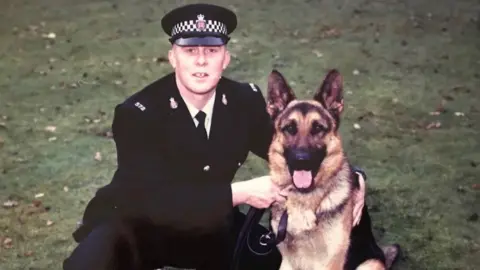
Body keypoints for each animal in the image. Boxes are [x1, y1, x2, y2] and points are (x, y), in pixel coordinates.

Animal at [266, 70, 398, 270]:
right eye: (290, 128)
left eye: (318, 128)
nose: (302, 160)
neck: (304, 199)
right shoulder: (288, 262)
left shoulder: (331, 262)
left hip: (370, 264)